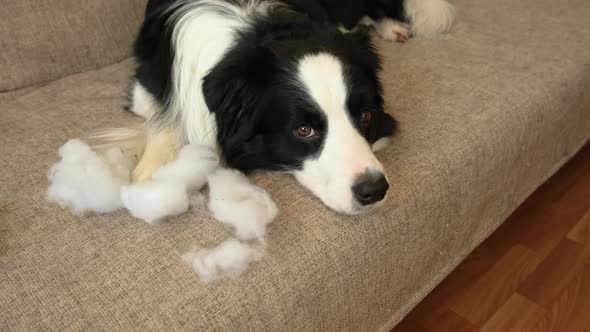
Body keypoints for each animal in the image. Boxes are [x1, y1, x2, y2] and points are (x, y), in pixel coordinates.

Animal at [125, 0, 456, 214]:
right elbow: (165, 117)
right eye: (304, 130)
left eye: (365, 115)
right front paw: (154, 173)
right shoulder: (143, 90)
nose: (374, 191)